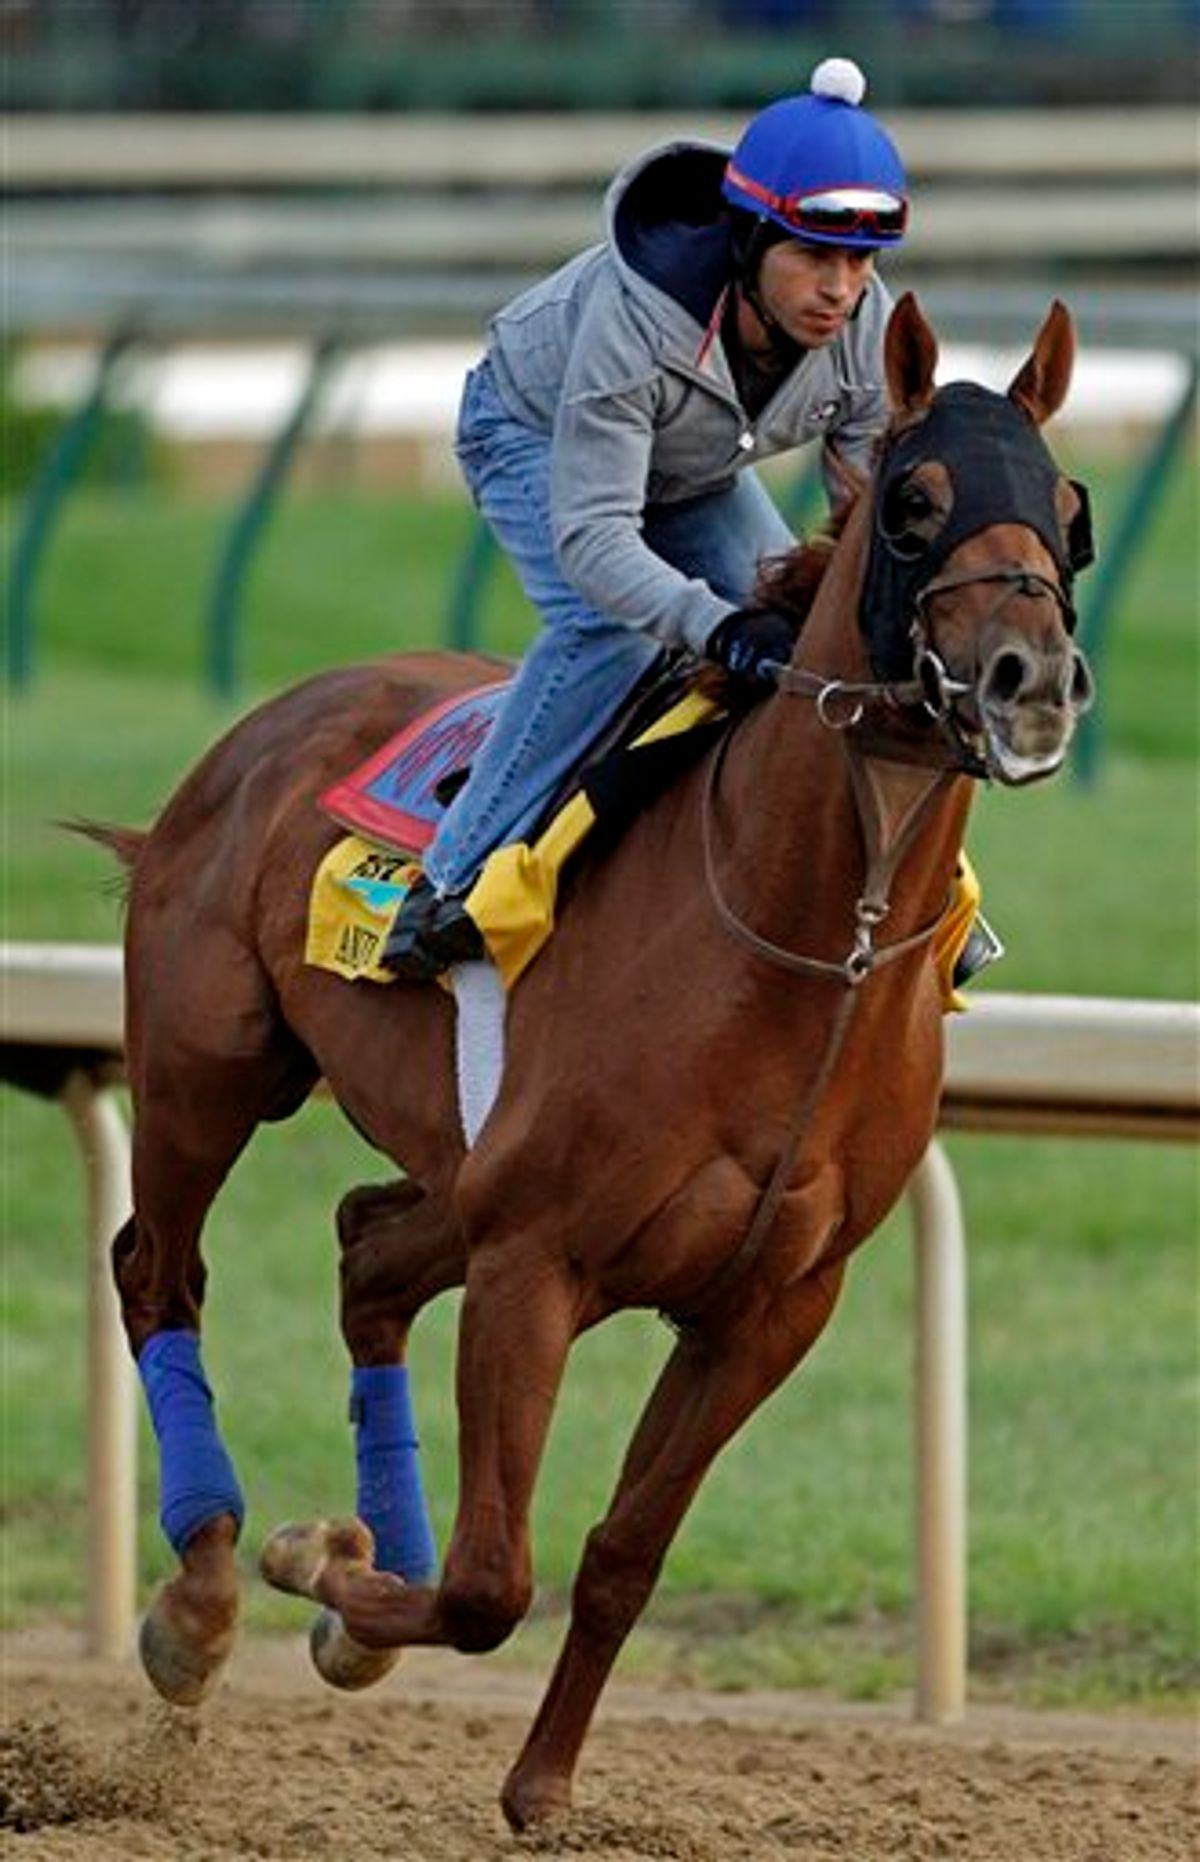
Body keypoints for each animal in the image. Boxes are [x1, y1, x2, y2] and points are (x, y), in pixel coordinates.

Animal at [88, 301, 1095, 1832]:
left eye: (1070, 511)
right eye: (916, 505)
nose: (1029, 680)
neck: (821, 944)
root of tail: (264, 728)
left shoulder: (769, 1305)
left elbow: (622, 1553)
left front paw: (537, 1776)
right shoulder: (536, 1258)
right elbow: (490, 1580)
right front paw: (322, 1571)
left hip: (454, 1169)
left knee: (366, 1248)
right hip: (212, 1070)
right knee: (160, 1265)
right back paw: (197, 1602)